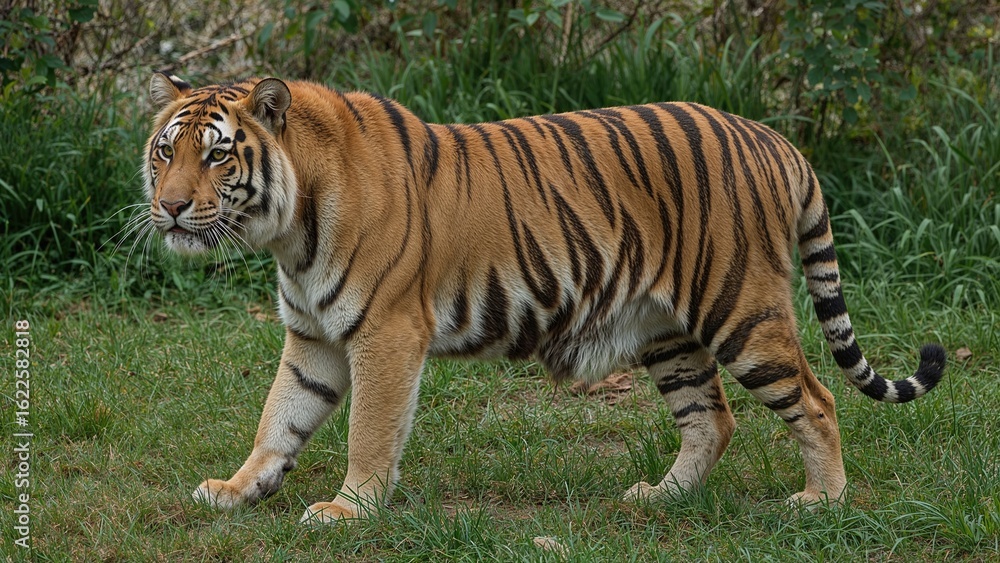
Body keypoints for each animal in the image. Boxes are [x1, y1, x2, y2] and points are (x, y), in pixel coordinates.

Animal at [143, 72, 946, 524]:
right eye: (165, 150)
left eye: (218, 154)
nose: (170, 207)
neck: (291, 231)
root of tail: (776, 140)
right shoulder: (312, 337)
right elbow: (279, 418)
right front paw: (238, 490)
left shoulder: (385, 334)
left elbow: (367, 430)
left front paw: (349, 508)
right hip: (666, 329)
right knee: (710, 420)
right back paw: (661, 498)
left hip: (740, 309)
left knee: (817, 397)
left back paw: (822, 503)